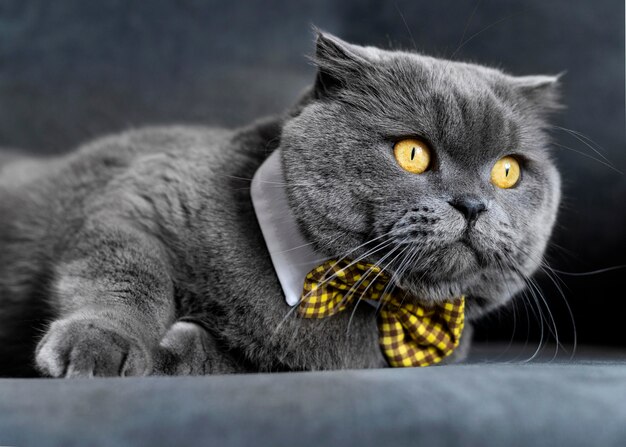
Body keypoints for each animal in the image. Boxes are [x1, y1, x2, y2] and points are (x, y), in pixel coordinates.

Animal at [0, 31, 560, 378]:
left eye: (507, 171)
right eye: (412, 153)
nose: (472, 204)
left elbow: (234, 358)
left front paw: (174, 353)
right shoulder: (142, 200)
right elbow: (131, 277)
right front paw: (99, 344)